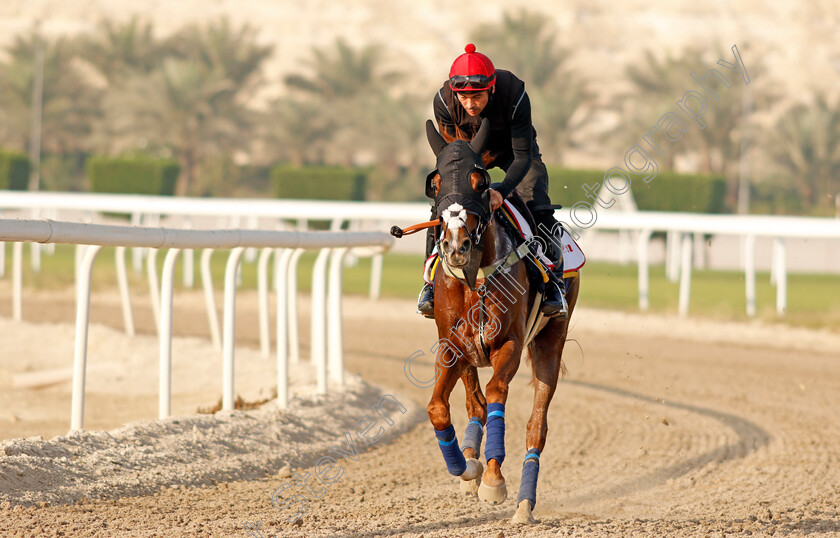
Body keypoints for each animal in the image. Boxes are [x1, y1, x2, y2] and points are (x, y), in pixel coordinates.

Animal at [424, 117, 580, 524]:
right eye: (436, 183)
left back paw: (525, 503)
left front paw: (493, 481)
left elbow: (497, 394)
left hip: (550, 343)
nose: (456, 246)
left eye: (479, 182)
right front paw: (465, 467)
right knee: (474, 402)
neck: (474, 279)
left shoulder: (509, 343)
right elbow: (438, 407)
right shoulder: (451, 346)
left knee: (536, 426)